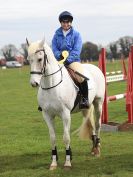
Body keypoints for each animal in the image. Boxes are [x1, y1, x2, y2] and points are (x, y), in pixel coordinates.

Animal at [26, 39, 105, 170]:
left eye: (40, 59)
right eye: (28, 59)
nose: (34, 83)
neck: (51, 85)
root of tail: (94, 68)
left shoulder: (65, 114)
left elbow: (66, 137)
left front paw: (68, 162)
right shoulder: (47, 115)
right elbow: (52, 138)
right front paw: (53, 163)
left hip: (98, 102)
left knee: (98, 125)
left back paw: (97, 149)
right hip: (86, 108)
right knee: (91, 124)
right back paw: (93, 149)